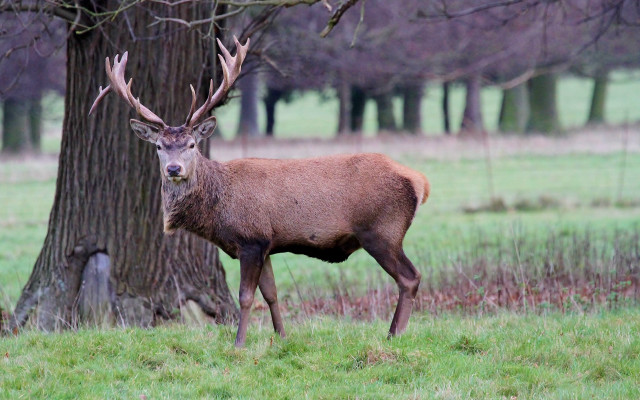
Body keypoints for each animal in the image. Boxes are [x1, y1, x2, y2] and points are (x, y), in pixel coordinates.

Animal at [89, 37, 430, 347]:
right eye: (160, 146)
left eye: (192, 145)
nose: (174, 169)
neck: (218, 209)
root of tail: (420, 181)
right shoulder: (266, 242)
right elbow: (271, 293)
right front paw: (281, 337)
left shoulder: (250, 239)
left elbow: (245, 296)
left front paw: (239, 343)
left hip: (382, 230)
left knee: (410, 277)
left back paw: (394, 334)